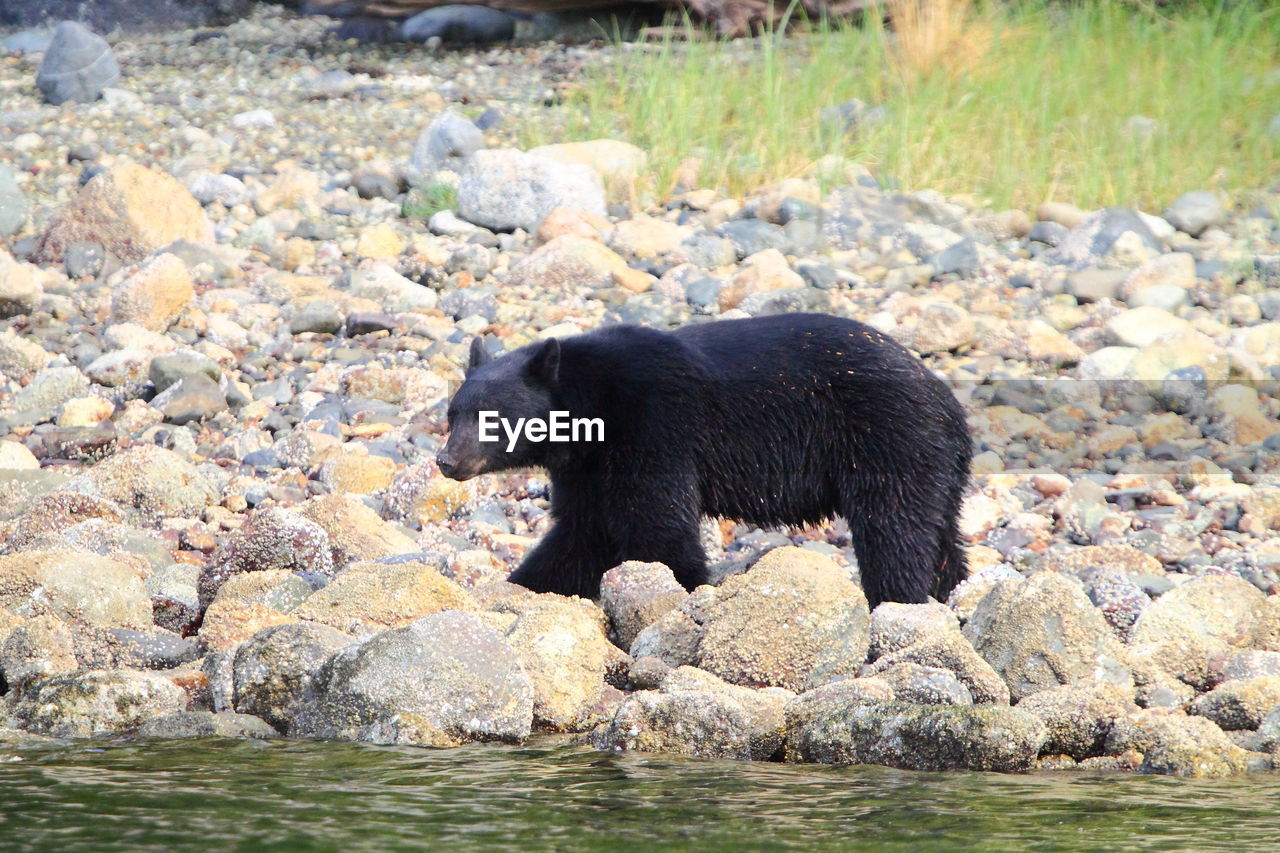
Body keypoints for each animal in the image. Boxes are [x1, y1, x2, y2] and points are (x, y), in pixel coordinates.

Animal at [435, 312, 962, 604]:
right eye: (452, 414)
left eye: (491, 417)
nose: (446, 461)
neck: (594, 406)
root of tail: (946, 398)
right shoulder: (586, 466)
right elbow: (582, 533)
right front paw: (524, 586)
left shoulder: (654, 427)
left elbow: (657, 526)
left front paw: (683, 588)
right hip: (934, 461)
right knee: (941, 536)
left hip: (887, 437)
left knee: (894, 527)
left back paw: (896, 599)